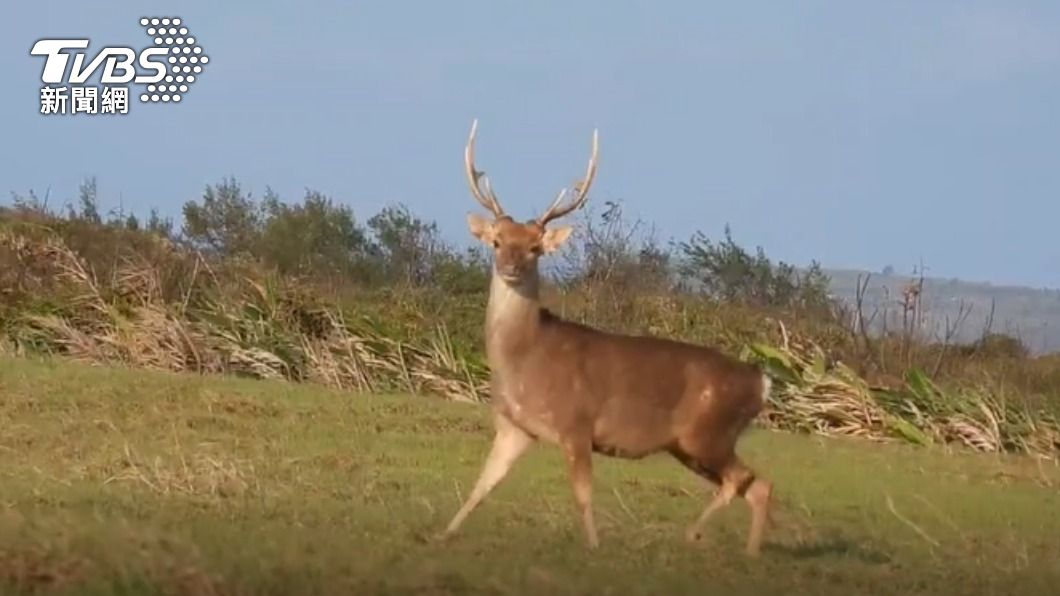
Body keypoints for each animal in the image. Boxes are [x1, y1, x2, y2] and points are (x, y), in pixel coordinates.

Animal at [439, 120, 774, 556]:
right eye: (497, 241)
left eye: (535, 248)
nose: (510, 267)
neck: (525, 358)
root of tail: (761, 380)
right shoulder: (514, 427)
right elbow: (483, 484)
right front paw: (443, 534)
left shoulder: (576, 424)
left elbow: (583, 494)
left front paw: (594, 548)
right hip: (691, 445)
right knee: (757, 485)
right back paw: (749, 552)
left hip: (708, 433)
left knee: (743, 481)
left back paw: (692, 534)